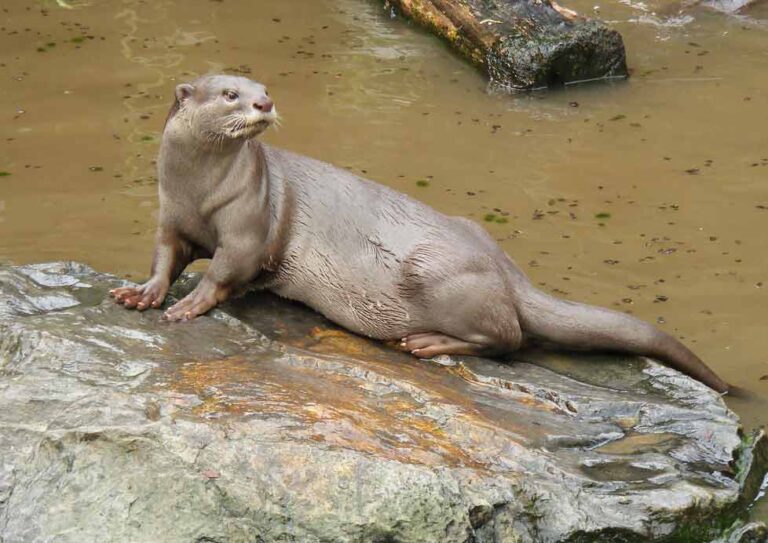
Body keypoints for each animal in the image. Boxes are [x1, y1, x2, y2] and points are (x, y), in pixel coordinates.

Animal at [110, 74, 729, 393]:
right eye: (229, 94)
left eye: (262, 87)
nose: (264, 102)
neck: (197, 190)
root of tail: (507, 269)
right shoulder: (171, 217)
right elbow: (165, 258)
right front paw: (142, 293)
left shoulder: (248, 222)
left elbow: (224, 271)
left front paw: (189, 305)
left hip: (433, 270)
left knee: (507, 338)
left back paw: (427, 343)